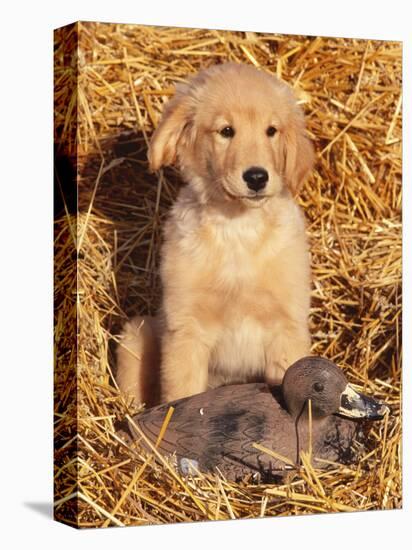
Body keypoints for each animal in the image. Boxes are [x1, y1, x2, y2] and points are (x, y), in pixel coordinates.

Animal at [117, 63, 314, 406]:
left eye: (271, 131)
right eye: (226, 131)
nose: (257, 177)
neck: (238, 229)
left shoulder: (287, 328)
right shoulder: (186, 330)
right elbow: (182, 394)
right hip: (136, 333)